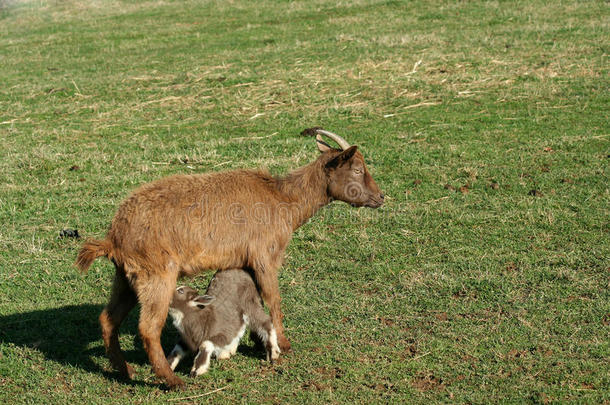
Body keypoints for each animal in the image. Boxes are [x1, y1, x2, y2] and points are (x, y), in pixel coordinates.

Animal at [75, 128, 380, 386]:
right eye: (357, 169)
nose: (380, 198)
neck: (283, 200)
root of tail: (114, 237)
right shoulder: (265, 256)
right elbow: (273, 298)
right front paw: (283, 345)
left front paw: (257, 341)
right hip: (157, 275)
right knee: (148, 328)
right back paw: (171, 381)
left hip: (126, 278)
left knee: (108, 319)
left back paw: (125, 371)